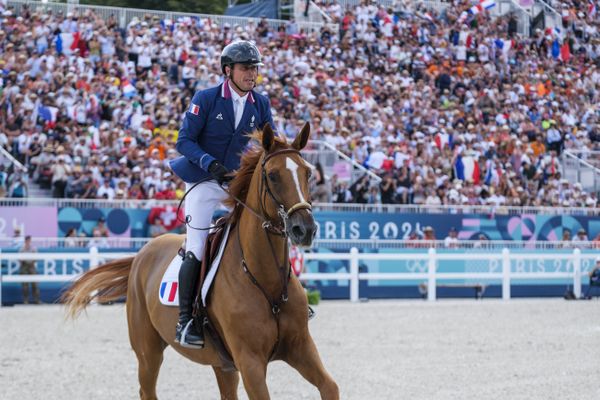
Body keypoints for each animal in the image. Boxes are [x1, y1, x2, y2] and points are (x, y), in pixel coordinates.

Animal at [65, 122, 340, 400]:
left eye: (307, 173)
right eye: (273, 175)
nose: (304, 230)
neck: (264, 279)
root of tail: (144, 252)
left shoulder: (301, 348)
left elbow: (330, 386)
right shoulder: (250, 362)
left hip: (222, 364)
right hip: (148, 351)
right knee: (147, 388)